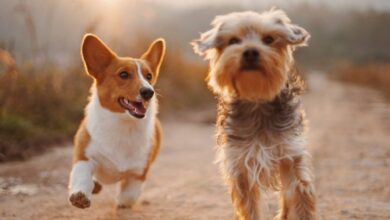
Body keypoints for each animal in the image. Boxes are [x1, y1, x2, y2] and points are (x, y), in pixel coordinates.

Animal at [69, 33, 165, 209]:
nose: (149, 92)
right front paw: (80, 195)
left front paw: (122, 202)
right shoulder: (84, 156)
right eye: (124, 74)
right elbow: (81, 175)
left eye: (149, 76)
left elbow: (129, 196)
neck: (123, 125)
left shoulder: (139, 172)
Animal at [192, 8, 316, 220]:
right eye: (234, 40)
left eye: (269, 39)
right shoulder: (240, 165)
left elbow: (299, 199)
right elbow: (249, 207)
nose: (250, 51)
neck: (257, 100)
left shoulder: (291, 156)